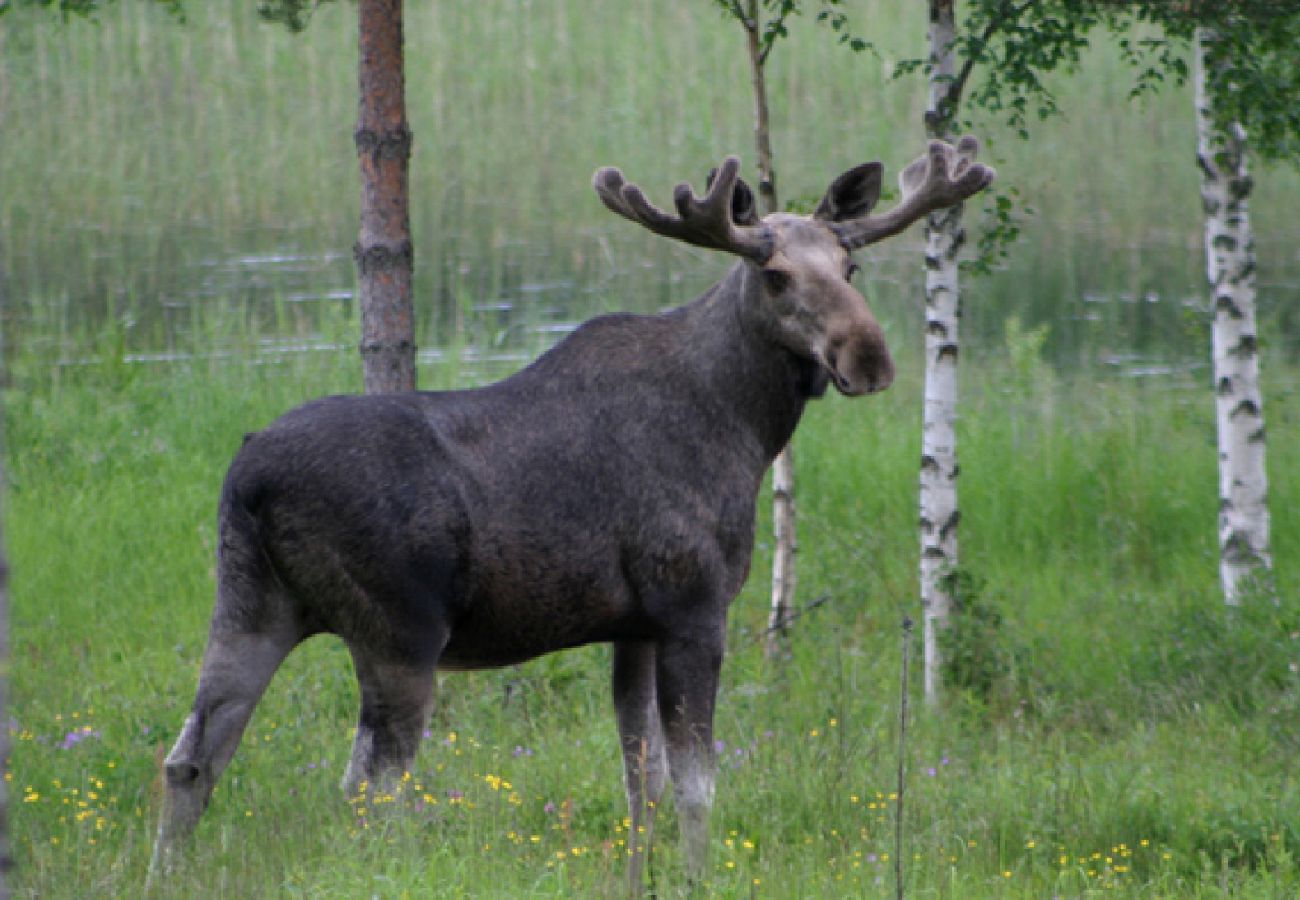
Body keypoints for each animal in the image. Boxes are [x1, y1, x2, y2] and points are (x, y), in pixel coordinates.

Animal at [149, 137, 993, 889]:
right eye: (778, 275)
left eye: (851, 266)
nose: (868, 357)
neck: (748, 426)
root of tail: (247, 479)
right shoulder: (693, 606)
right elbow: (696, 784)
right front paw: (698, 879)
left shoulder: (634, 626)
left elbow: (640, 781)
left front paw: (643, 881)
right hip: (398, 635)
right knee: (368, 789)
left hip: (253, 605)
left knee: (190, 759)